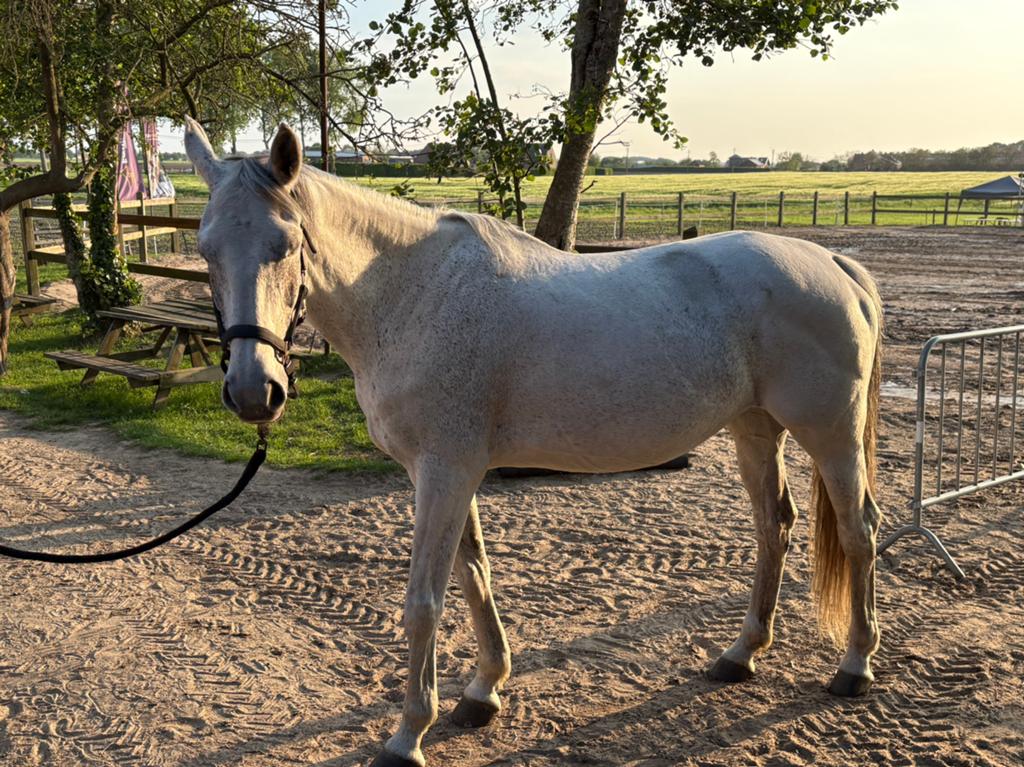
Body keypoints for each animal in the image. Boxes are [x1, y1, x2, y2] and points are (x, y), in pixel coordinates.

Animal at [184, 118, 884, 767]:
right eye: (206, 250)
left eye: (284, 245)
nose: (253, 390)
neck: (413, 295)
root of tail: (836, 265)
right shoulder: (449, 473)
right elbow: (474, 575)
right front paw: (482, 692)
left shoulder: (444, 471)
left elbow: (424, 602)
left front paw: (408, 735)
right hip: (755, 429)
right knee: (775, 527)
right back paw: (741, 655)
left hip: (831, 435)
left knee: (859, 532)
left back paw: (854, 666)